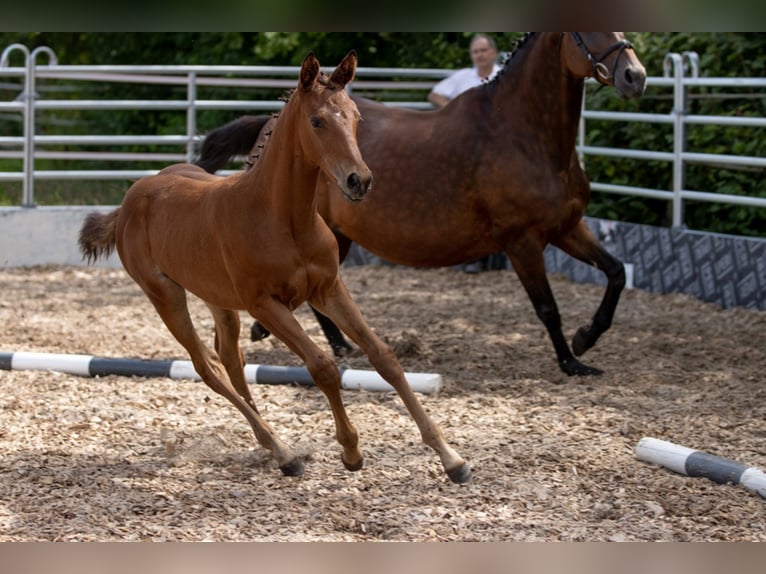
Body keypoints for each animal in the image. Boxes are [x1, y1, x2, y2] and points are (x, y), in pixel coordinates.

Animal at [81, 53, 472, 486]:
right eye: (317, 121)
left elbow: (383, 356)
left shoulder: (329, 288)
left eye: (356, 118)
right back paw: (284, 453)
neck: (286, 219)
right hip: (165, 295)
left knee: (231, 359)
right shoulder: (266, 305)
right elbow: (322, 366)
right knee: (207, 366)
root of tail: (131, 199)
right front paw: (351, 451)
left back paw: (270, 446)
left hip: (219, 298)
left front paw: (451, 458)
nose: (360, 180)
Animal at [196, 33, 648, 380]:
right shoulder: (522, 241)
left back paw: (327, 343)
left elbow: (616, 272)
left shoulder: (567, 227)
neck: (526, 136)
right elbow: (548, 307)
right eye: (584, 30)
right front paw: (572, 361)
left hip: (336, 236)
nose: (635, 75)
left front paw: (586, 337)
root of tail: (270, 120)